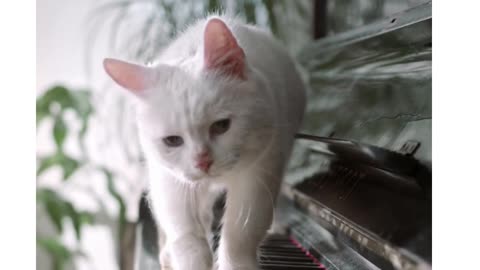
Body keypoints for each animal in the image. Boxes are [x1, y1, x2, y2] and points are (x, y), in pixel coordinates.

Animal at [104, 15, 306, 270]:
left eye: (221, 126)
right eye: (172, 141)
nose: (203, 162)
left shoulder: (260, 173)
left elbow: (241, 234)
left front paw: (238, 264)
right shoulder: (170, 181)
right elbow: (187, 237)